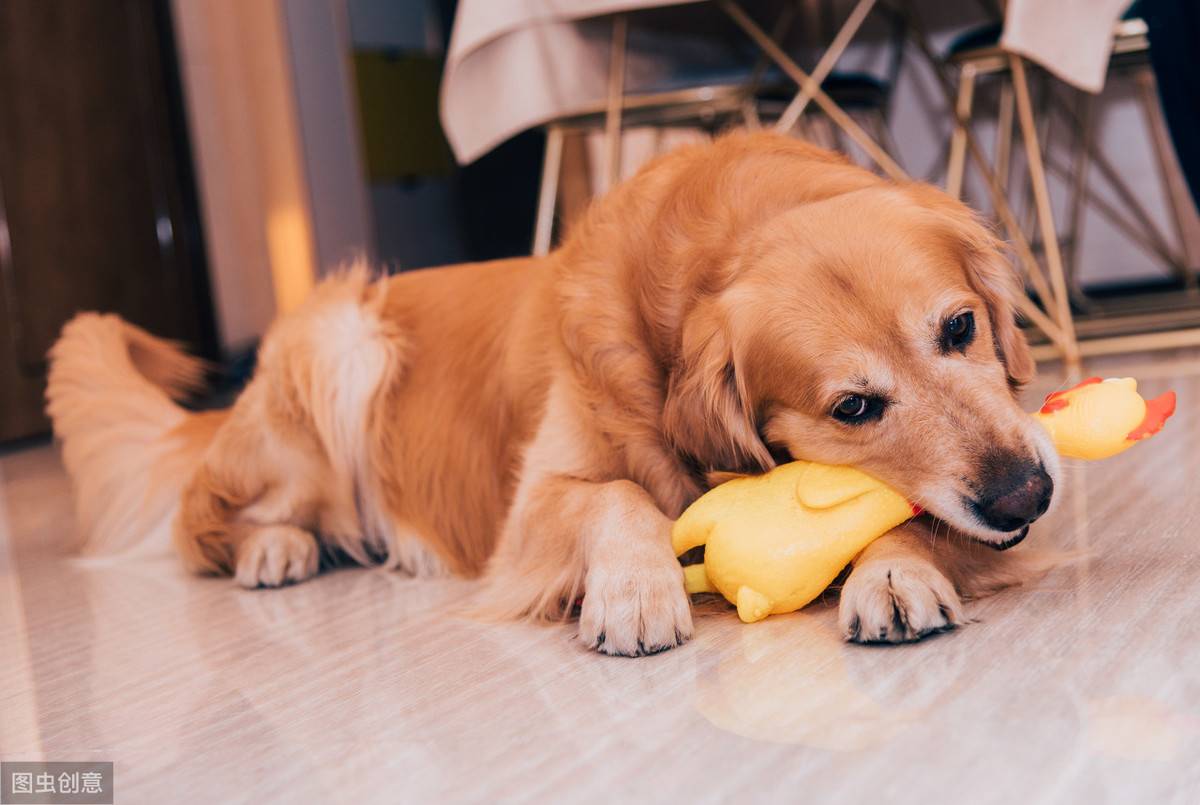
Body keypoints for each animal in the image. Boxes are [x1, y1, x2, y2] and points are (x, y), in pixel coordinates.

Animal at [46, 131, 1060, 657]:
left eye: (960, 328)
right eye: (853, 407)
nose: (1028, 494)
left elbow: (910, 517)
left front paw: (894, 568)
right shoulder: (531, 505)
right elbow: (614, 494)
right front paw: (635, 588)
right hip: (340, 345)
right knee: (207, 526)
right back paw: (279, 548)